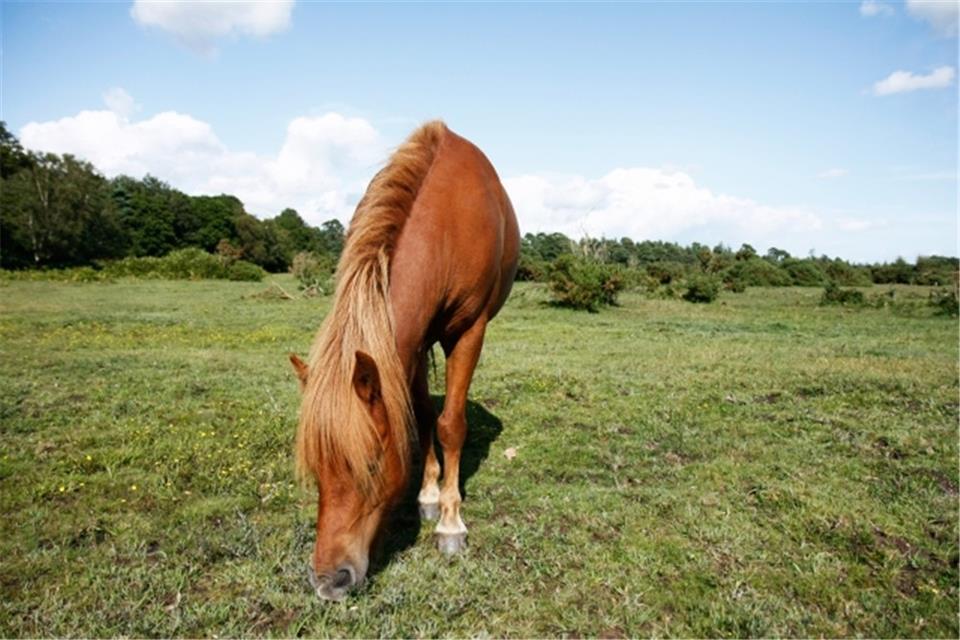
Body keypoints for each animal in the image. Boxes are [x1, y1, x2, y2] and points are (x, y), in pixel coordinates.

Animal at [289, 121, 519, 601]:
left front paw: (450, 523)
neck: (446, 222)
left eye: (371, 466)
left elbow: (450, 425)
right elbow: (421, 415)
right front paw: (428, 496)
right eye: (317, 468)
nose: (328, 581)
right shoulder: (408, 344)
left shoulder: (468, 332)